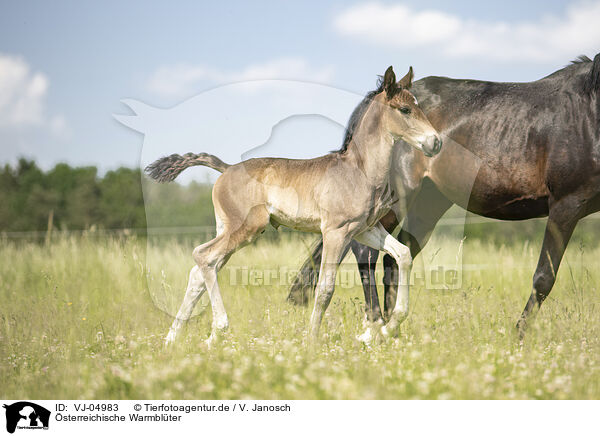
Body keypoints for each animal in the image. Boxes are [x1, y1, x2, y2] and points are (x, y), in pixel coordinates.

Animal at [288, 52, 600, 338]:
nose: (433, 142)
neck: (587, 109)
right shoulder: (566, 205)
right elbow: (544, 277)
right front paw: (519, 337)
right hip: (396, 203)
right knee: (368, 253)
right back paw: (375, 325)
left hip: (429, 205)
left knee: (394, 258)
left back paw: (392, 329)